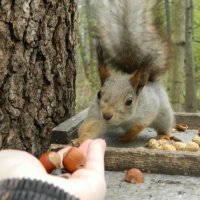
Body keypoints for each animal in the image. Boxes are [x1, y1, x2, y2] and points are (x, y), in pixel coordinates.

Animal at [74, 0, 173, 144]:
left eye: (129, 101)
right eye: (99, 94)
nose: (107, 115)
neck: (122, 121)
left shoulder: (148, 108)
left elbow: (139, 125)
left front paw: (127, 137)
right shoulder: (97, 113)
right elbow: (90, 126)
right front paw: (81, 140)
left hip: (164, 114)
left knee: (165, 124)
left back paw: (164, 135)